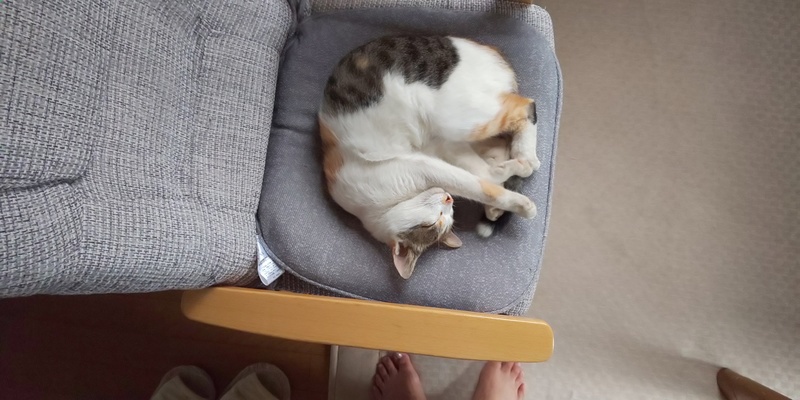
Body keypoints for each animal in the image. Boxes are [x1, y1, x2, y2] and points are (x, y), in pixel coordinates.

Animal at [318, 35, 540, 278]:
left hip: (456, 118)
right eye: (439, 222)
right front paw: (499, 195)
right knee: (504, 137)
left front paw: (524, 204)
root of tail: (490, 49)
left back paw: (527, 157)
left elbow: (482, 184)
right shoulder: (443, 150)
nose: (448, 198)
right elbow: (487, 176)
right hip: (452, 132)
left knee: (527, 106)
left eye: (432, 223)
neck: (378, 209)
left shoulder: (424, 167)